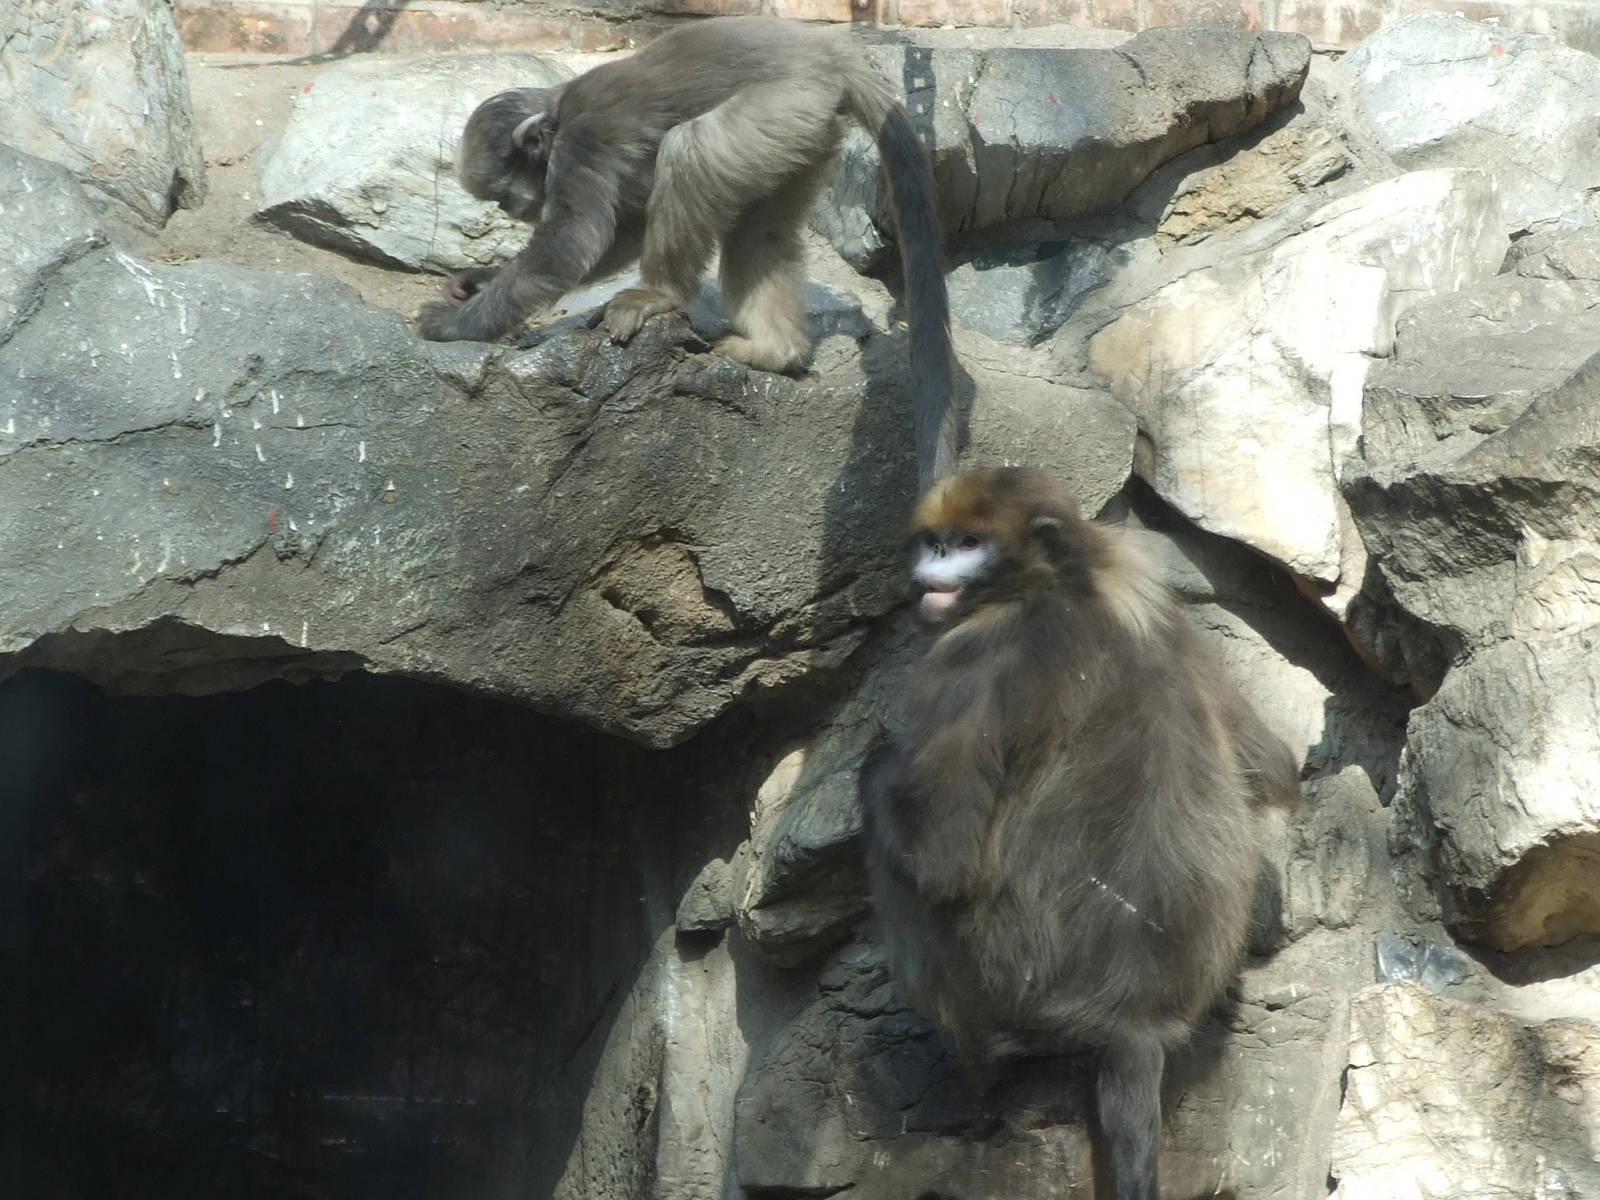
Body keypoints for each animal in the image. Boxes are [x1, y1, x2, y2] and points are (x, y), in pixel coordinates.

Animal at [416, 16, 957, 489]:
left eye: (503, 200)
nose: (519, 212)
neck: (558, 111)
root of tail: (827, 52)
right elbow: (623, 234)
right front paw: (479, 282)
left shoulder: (584, 140)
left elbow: (575, 241)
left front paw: (452, 324)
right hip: (804, 130)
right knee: (757, 233)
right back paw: (775, 351)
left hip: (785, 105)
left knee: (691, 148)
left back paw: (661, 293)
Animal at [857, 467, 1300, 1200]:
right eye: (937, 542)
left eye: (969, 544)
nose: (936, 565)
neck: (1065, 580)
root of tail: (1136, 1023)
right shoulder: (1153, 600)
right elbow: (1276, 772)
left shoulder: (977, 652)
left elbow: (940, 860)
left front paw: (877, 766)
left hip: (1002, 986)